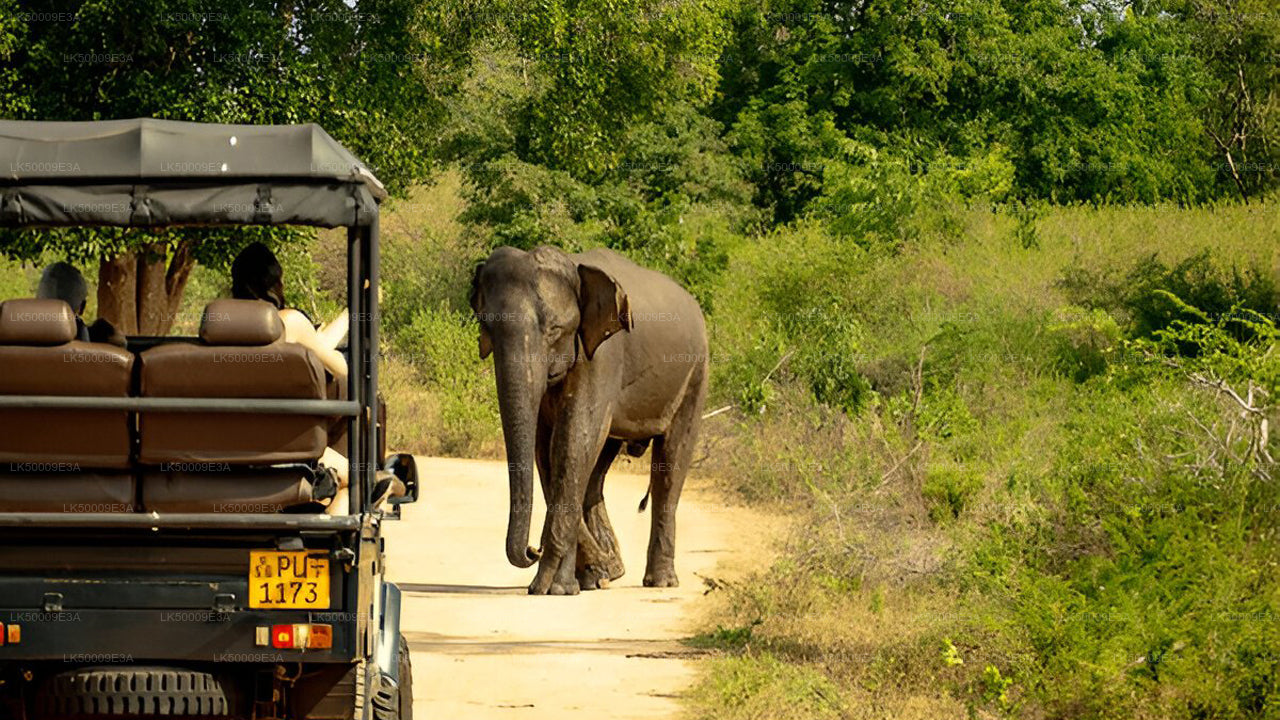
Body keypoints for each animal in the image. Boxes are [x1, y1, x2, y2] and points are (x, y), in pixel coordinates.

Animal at [470, 245, 708, 595]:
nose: (532, 549)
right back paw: (599, 577)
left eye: (554, 330)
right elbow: (548, 450)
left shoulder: (603, 356)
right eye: (487, 325)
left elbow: (573, 440)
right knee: (598, 469)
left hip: (695, 373)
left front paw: (550, 587)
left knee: (670, 463)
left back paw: (660, 582)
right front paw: (589, 576)